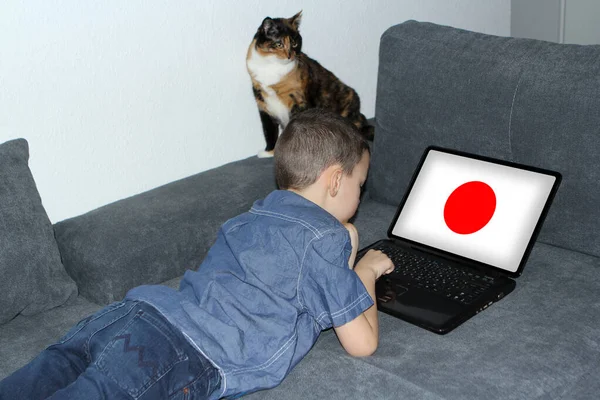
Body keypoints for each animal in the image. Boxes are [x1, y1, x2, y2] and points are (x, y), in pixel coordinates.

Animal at [246, 10, 372, 158]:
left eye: (294, 43)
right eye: (279, 44)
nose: (289, 56)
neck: (272, 68)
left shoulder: (298, 102)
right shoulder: (264, 105)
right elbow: (269, 131)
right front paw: (268, 151)